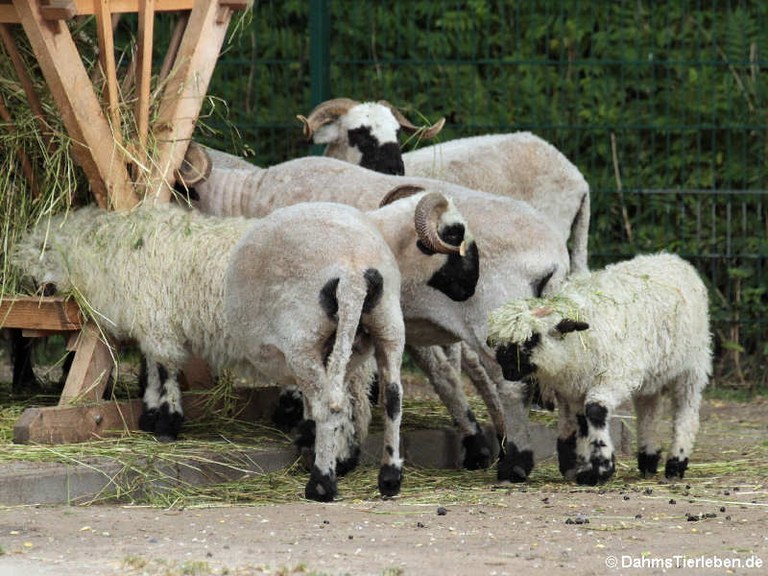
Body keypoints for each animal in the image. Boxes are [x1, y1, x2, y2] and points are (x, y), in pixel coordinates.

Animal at [10, 202, 420, 504]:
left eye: (40, 250)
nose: (33, 287)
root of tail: (355, 267)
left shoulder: (157, 318)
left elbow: (164, 368)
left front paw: (166, 420)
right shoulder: (153, 321)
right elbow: (152, 366)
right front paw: (151, 413)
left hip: (308, 339)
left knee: (337, 402)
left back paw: (324, 478)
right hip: (373, 335)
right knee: (379, 400)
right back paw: (371, 470)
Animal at [178, 148, 568, 482]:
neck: (244, 195)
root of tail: (554, 257)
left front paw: (329, 445)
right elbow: (444, 375)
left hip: (491, 320)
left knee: (512, 385)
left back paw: (516, 463)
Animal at [488, 254, 712, 484]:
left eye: (533, 338)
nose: (506, 368)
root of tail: (673, 259)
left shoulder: (615, 376)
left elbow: (595, 411)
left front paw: (600, 468)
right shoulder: (576, 389)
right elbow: (583, 423)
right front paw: (587, 467)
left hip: (691, 367)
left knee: (686, 413)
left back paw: (676, 464)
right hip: (652, 375)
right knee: (648, 411)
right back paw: (648, 459)